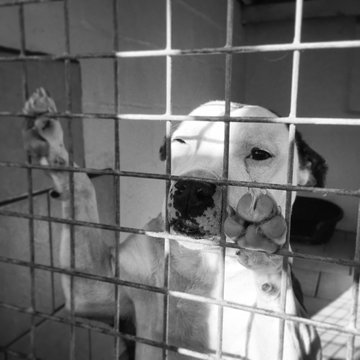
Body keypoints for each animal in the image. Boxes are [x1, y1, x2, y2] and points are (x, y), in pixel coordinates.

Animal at [23, 88, 326, 358]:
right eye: (180, 142)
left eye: (260, 154)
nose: (191, 190)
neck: (199, 266)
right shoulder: (93, 290)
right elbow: (82, 187)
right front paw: (51, 144)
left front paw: (262, 249)